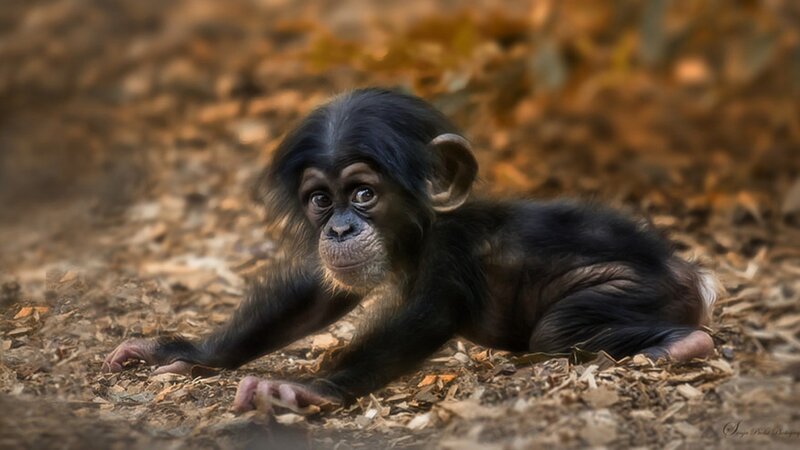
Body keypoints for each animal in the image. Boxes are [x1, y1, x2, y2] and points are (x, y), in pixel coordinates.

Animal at [103, 88, 720, 412]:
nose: (339, 229)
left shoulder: (450, 254)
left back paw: (682, 345)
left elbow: (424, 318)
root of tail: (694, 274)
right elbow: (315, 298)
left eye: (363, 193)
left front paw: (304, 389)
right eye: (321, 200)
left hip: (636, 288)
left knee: (559, 329)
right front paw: (183, 353)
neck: (420, 232)